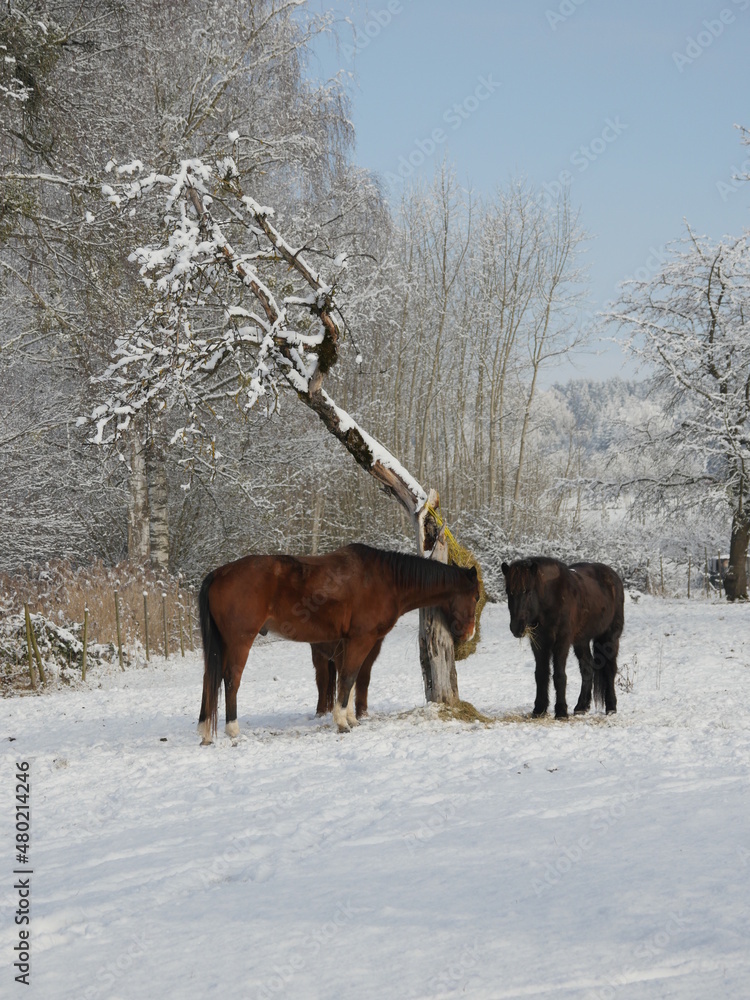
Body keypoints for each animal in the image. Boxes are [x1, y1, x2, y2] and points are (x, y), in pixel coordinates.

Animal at [198, 540, 482, 744]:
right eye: (476, 597)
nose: (468, 634)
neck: (386, 579)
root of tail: (219, 573)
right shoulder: (361, 639)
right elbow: (348, 677)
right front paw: (342, 722)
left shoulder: (347, 643)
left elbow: (350, 680)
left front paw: (351, 719)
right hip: (239, 642)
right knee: (231, 679)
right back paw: (232, 730)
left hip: (222, 645)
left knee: (210, 679)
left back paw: (205, 732)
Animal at [502, 556, 624, 720]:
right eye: (508, 591)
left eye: (527, 591)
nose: (516, 627)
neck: (552, 598)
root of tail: (612, 575)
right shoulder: (539, 643)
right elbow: (541, 674)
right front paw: (539, 709)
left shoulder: (562, 642)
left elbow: (559, 675)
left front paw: (561, 711)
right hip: (581, 641)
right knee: (587, 668)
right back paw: (581, 706)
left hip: (609, 638)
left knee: (610, 670)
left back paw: (611, 707)